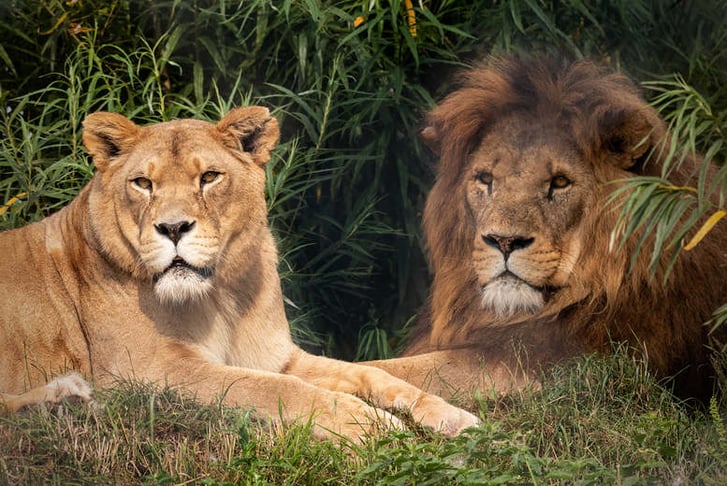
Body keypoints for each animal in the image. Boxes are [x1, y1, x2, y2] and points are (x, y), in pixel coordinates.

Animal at [0, 106, 478, 440]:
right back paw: (63, 401)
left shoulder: (278, 356)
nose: (173, 227)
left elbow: (373, 374)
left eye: (209, 177)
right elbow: (279, 390)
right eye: (143, 184)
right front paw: (376, 428)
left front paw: (451, 416)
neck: (220, 296)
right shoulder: (151, 371)